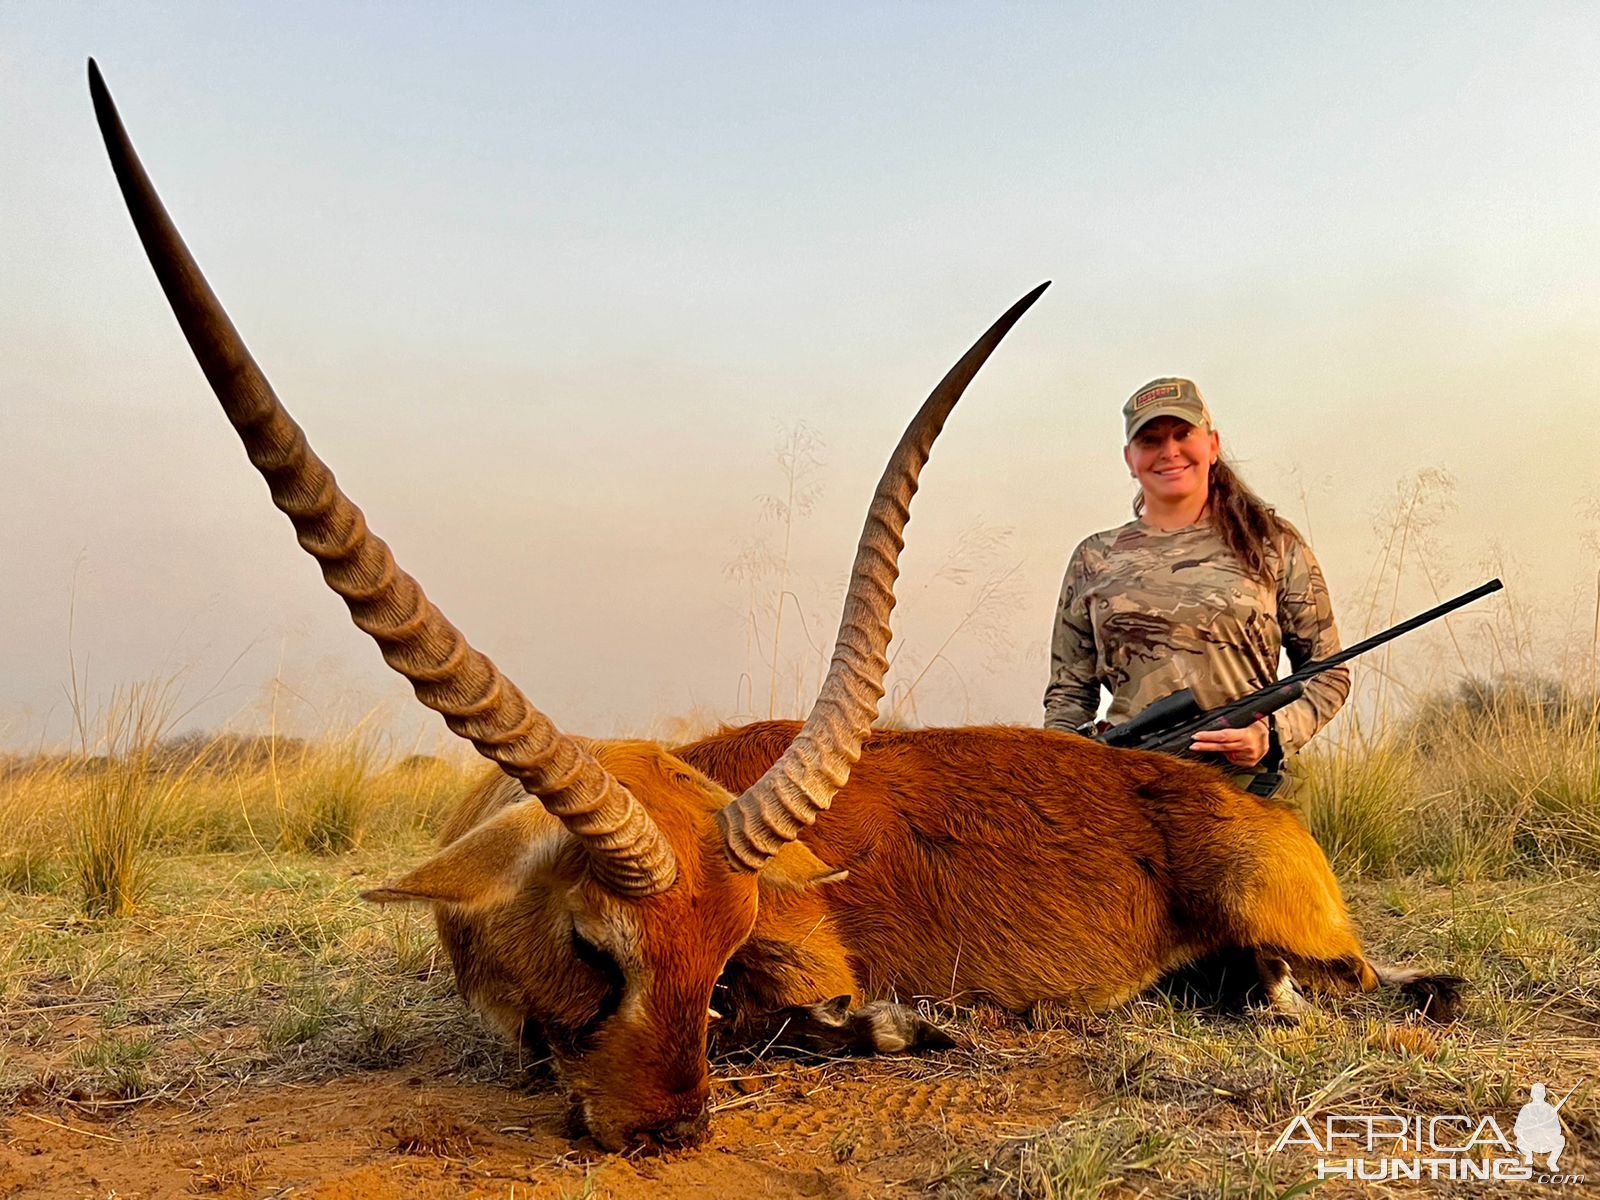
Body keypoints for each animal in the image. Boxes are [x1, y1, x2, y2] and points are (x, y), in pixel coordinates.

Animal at [90, 61, 1465, 1152]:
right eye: (596, 946)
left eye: (722, 941)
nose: (665, 1132)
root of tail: (1244, 804)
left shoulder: (800, 960)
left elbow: (801, 1020)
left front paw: (905, 1028)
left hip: (1306, 936)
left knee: (1364, 981)